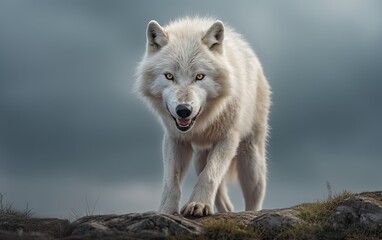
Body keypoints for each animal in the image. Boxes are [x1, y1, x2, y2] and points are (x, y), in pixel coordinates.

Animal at [136, 15, 270, 217]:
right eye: (169, 76)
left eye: (199, 76)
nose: (183, 110)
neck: (202, 124)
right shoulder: (176, 139)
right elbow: (171, 181)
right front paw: (166, 212)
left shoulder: (228, 139)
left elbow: (210, 174)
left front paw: (198, 204)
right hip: (200, 158)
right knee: (225, 203)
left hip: (250, 161)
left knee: (254, 198)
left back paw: (251, 214)